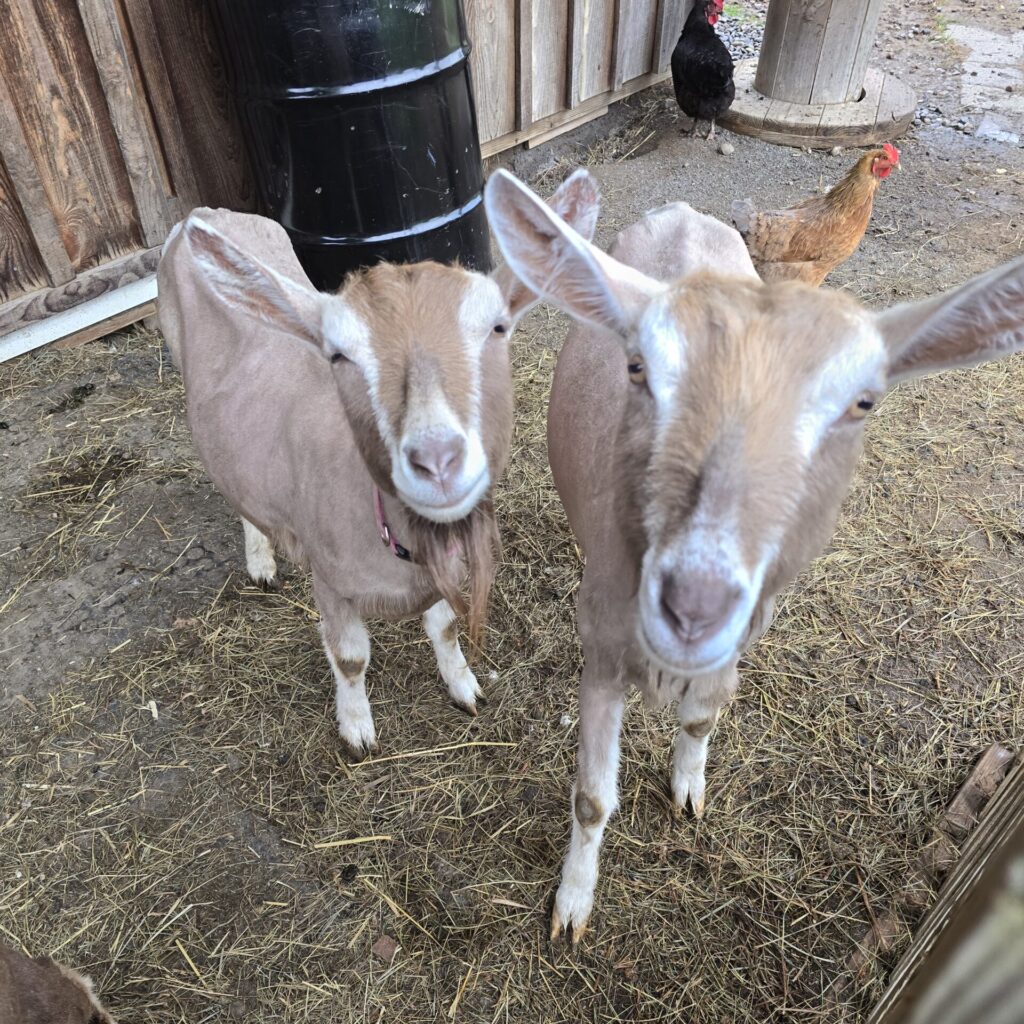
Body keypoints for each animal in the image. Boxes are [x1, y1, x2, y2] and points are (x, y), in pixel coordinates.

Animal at [157, 171, 600, 755]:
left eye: (497, 328)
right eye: (338, 354)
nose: (437, 461)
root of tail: (199, 214)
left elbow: (445, 629)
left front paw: (465, 688)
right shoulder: (329, 577)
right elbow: (349, 658)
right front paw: (357, 731)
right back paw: (261, 561)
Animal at [485, 168, 1024, 941]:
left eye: (863, 403)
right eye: (638, 368)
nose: (694, 605)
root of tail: (682, 210)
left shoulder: (744, 637)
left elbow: (700, 721)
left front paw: (687, 789)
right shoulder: (603, 647)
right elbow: (591, 797)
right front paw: (572, 907)